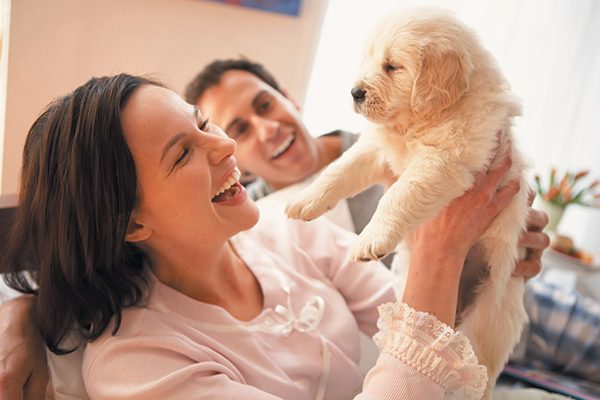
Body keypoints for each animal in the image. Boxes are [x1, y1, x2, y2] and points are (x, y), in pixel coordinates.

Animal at [286, 7, 528, 400]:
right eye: (368, 59)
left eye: (392, 66)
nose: (354, 92)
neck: (418, 121)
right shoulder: (375, 149)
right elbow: (339, 170)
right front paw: (304, 200)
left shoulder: (443, 162)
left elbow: (399, 195)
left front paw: (371, 239)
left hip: (488, 322)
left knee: (477, 377)